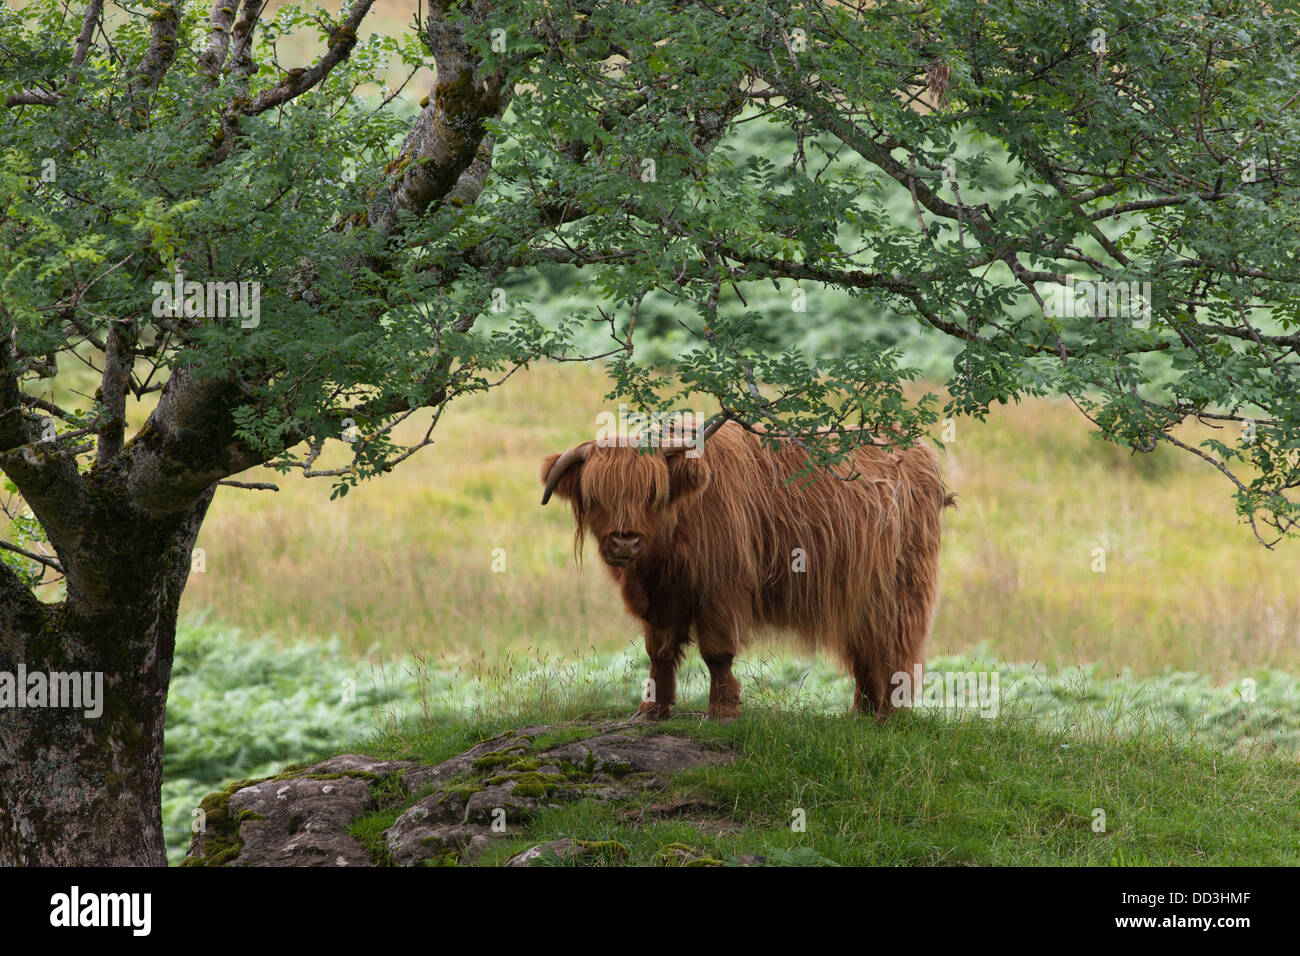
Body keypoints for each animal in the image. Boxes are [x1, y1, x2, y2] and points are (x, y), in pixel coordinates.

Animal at [540, 421, 956, 723]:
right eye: (595, 496)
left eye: (651, 495)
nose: (624, 542)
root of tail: (918, 452)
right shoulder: (659, 600)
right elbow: (658, 652)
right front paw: (651, 709)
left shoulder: (721, 590)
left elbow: (717, 653)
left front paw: (722, 710)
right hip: (858, 596)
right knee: (865, 648)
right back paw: (862, 712)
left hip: (898, 590)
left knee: (892, 646)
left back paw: (888, 714)